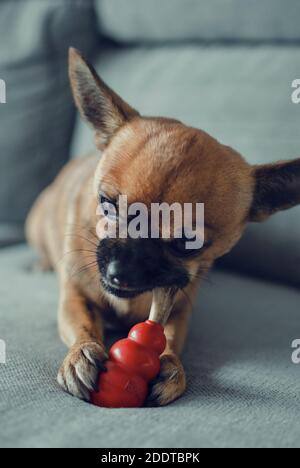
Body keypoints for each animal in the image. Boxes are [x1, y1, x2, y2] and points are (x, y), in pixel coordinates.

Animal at [25, 48, 300, 406]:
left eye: (187, 243)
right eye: (106, 204)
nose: (119, 272)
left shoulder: (180, 308)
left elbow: (168, 337)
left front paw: (171, 365)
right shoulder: (74, 296)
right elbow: (83, 325)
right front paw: (81, 355)